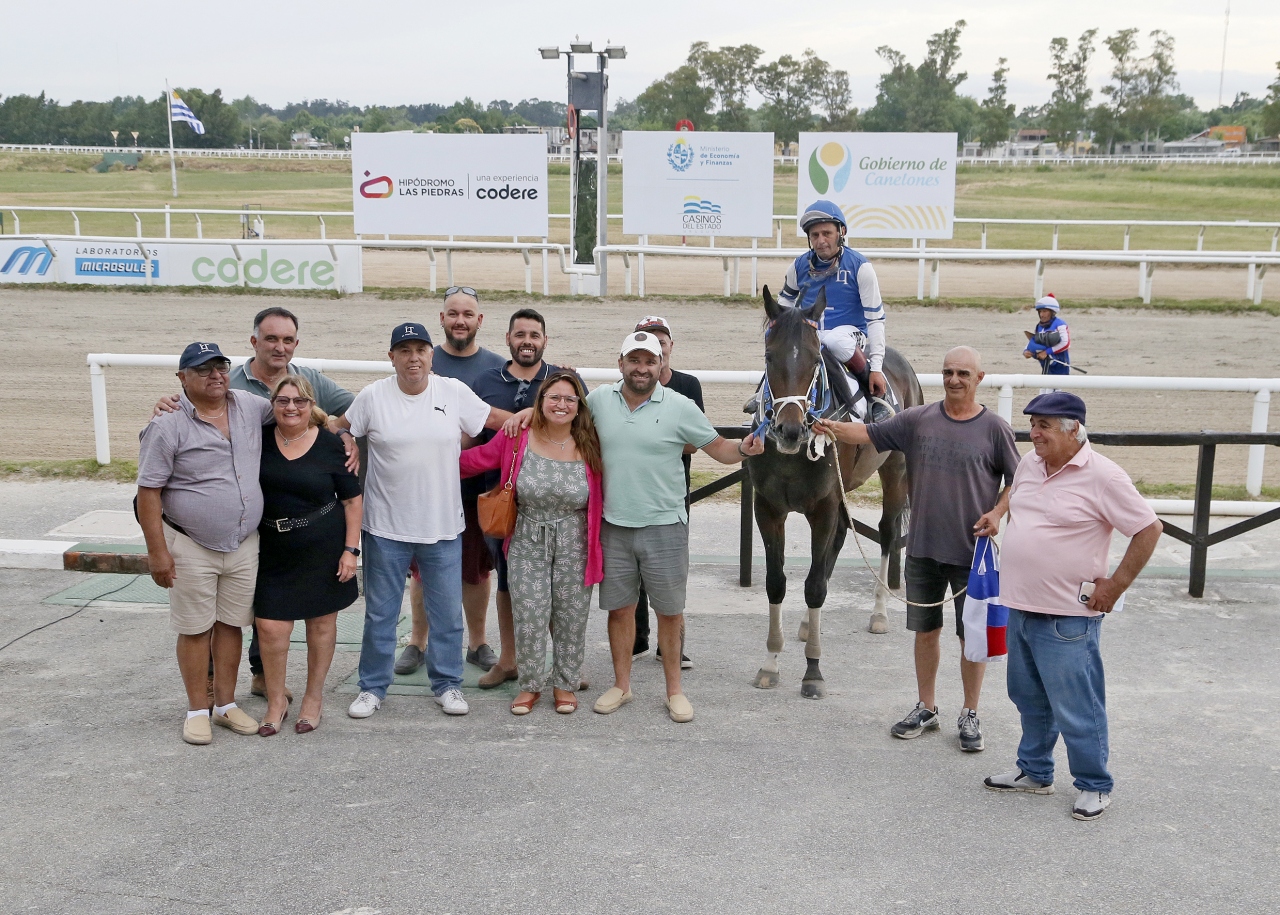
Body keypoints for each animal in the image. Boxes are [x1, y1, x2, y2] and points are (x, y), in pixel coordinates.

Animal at [745, 286, 923, 698]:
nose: (790, 430)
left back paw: (879, 613)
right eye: (769, 356)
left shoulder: (821, 507)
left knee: (887, 532)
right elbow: (776, 582)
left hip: (896, 471)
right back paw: (808, 625)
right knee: (842, 535)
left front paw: (813, 671)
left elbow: (812, 587)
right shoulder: (768, 509)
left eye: (814, 359)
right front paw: (770, 663)